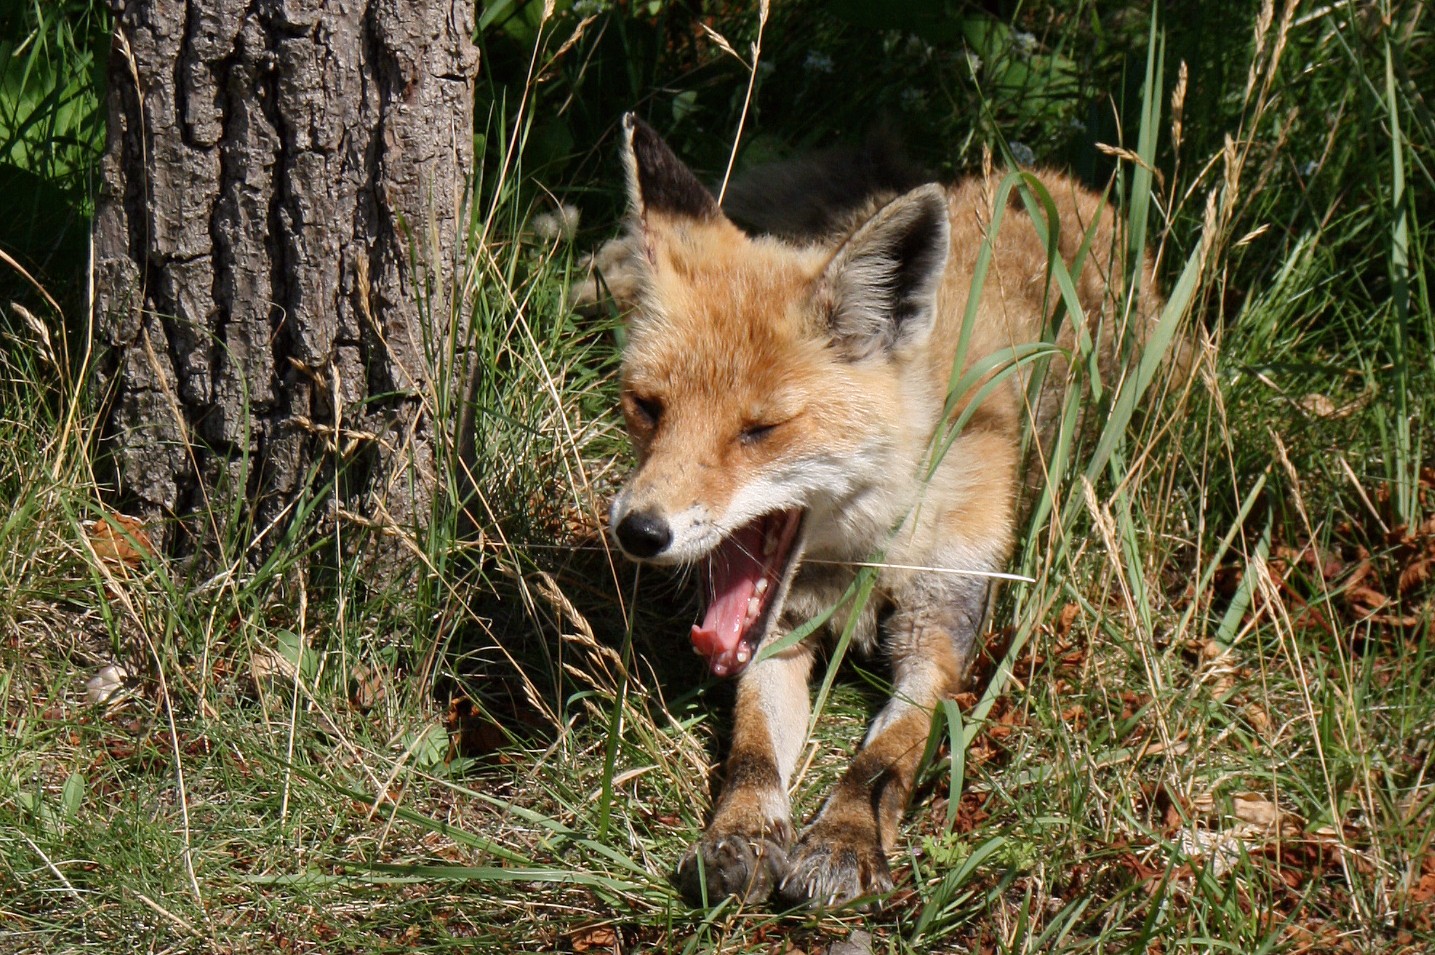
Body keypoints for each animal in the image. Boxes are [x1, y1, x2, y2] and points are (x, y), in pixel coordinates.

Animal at [582, 113, 1165, 906]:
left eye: (760, 430)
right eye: (648, 407)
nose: (638, 530)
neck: (865, 557)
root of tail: (1055, 181)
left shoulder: (942, 626)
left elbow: (888, 755)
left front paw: (843, 839)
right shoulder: (779, 634)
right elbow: (752, 749)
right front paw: (742, 833)